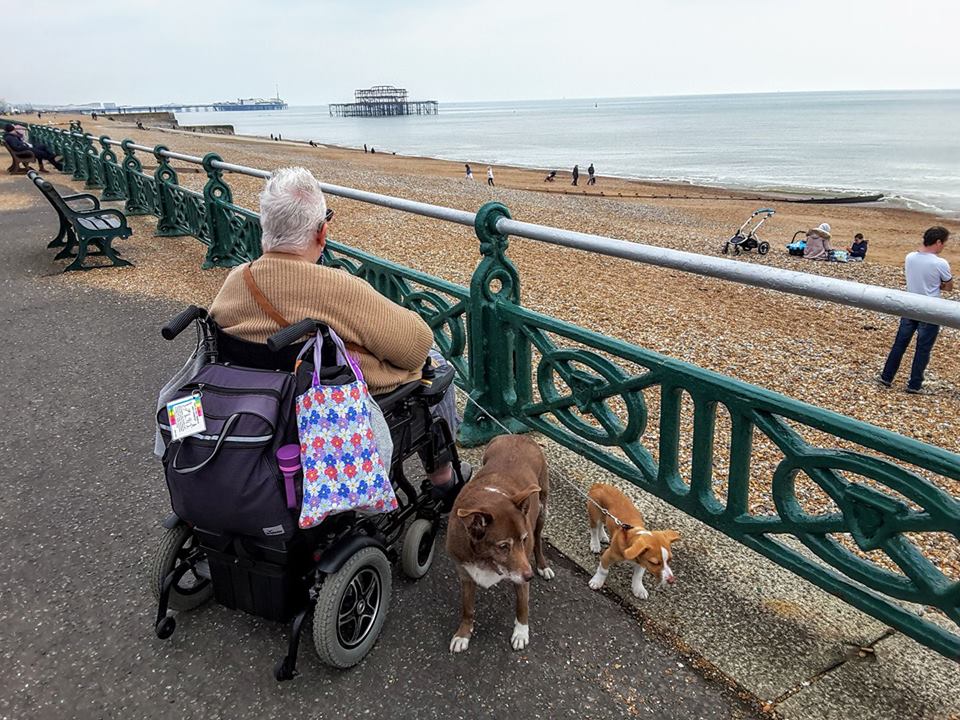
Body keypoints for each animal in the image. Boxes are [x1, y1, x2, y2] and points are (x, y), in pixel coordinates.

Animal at [444, 434, 552, 652]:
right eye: (503, 546)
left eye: (523, 539)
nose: (530, 576)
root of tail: (517, 436)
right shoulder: (465, 574)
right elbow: (467, 608)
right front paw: (463, 634)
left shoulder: (521, 573)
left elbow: (522, 606)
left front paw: (521, 633)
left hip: (542, 508)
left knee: (538, 541)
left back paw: (543, 566)